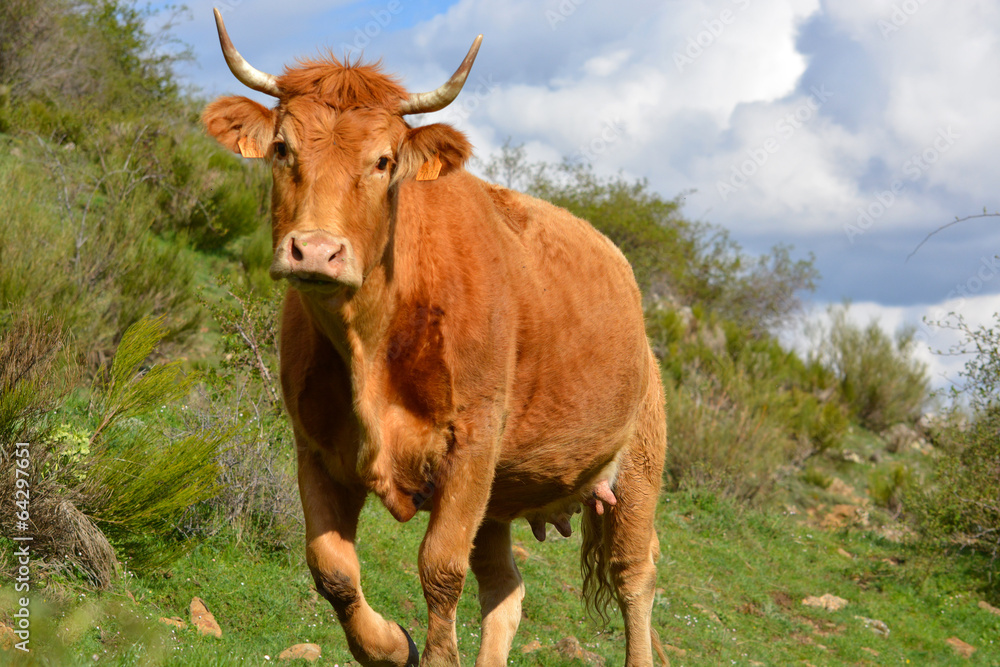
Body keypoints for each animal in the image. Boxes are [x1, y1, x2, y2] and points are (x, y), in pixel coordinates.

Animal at [205, 10, 664, 667]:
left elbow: (440, 569)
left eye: (383, 160)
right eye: (281, 148)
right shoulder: (315, 448)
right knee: (505, 587)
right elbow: (332, 569)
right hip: (503, 494)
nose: (315, 250)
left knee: (634, 578)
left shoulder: (471, 446)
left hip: (637, 470)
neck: (370, 345)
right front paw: (391, 646)